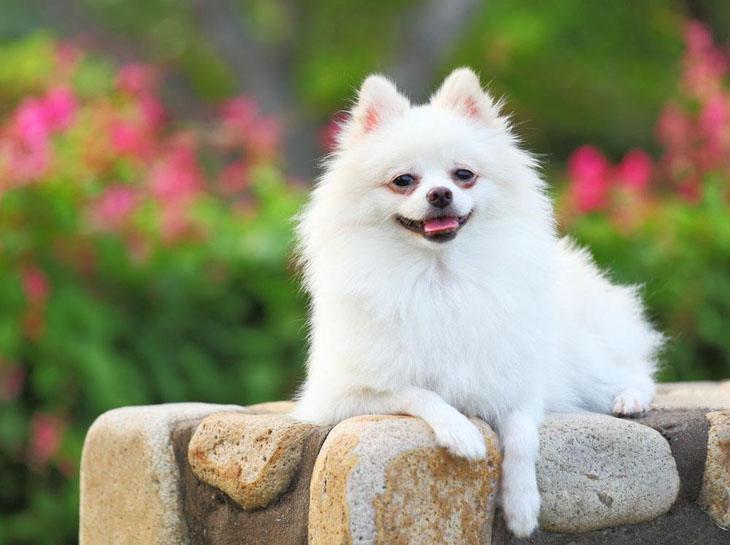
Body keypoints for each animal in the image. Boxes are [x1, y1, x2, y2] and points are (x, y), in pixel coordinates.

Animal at [288, 67, 660, 536]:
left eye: (463, 174)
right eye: (403, 181)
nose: (440, 194)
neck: (440, 277)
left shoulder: (517, 384)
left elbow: (522, 435)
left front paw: (522, 505)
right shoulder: (343, 396)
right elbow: (419, 393)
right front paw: (460, 431)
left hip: (584, 362)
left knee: (634, 372)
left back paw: (630, 399)